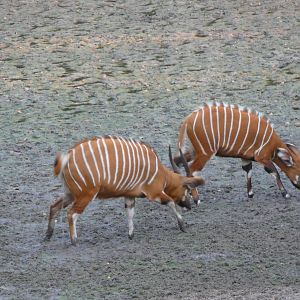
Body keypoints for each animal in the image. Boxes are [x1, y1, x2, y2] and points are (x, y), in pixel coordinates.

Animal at [45, 135, 204, 244]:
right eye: (187, 190)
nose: (189, 206)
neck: (160, 172)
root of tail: (66, 158)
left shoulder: (129, 196)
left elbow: (130, 213)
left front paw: (130, 235)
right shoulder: (154, 192)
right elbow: (170, 202)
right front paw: (182, 226)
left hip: (71, 193)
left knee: (54, 206)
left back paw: (48, 235)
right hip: (86, 194)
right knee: (71, 214)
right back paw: (74, 241)